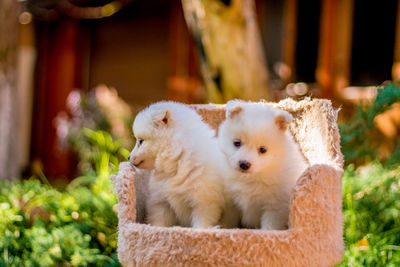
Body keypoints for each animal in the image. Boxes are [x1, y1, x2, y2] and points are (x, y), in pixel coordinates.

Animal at [130, 101, 239, 229]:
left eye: (140, 141)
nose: (128, 157)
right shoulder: (162, 203)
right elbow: (159, 221)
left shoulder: (204, 202)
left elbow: (201, 222)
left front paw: (201, 230)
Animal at [217, 100, 308, 230]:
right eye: (237, 143)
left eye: (263, 150)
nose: (244, 164)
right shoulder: (231, 202)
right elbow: (229, 219)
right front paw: (225, 228)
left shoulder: (275, 207)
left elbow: (269, 226)